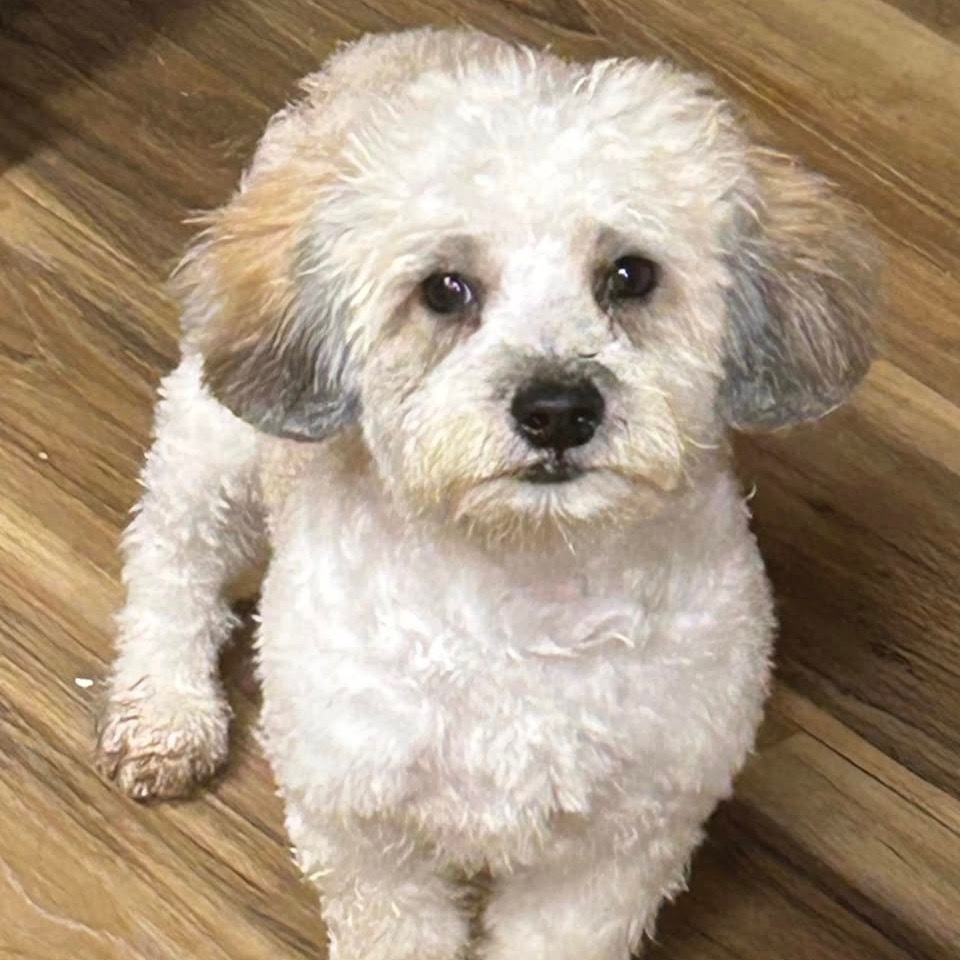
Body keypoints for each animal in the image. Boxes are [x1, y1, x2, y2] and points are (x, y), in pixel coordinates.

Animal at [95, 28, 876, 960]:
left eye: (630, 275)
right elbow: (393, 929)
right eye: (444, 289)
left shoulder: (621, 846)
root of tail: (396, 44)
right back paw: (165, 711)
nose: (558, 408)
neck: (524, 595)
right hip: (211, 449)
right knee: (170, 565)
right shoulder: (362, 829)